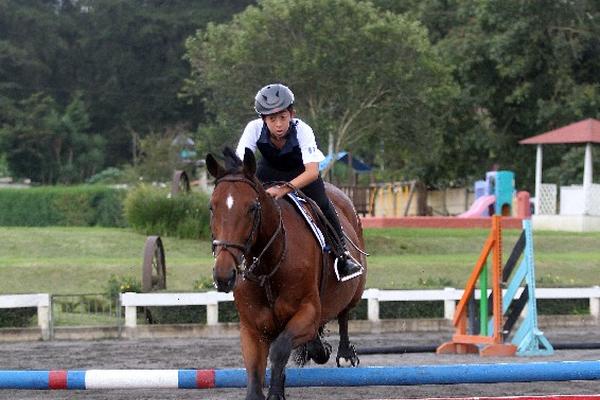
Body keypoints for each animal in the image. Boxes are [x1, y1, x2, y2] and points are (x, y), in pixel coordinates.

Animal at [205, 148, 366, 400]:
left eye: (252, 208)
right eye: (212, 207)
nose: (223, 275)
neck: (269, 265)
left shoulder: (307, 312)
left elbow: (280, 350)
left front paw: (275, 393)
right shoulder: (252, 328)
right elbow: (255, 374)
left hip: (355, 288)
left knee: (344, 313)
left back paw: (344, 352)